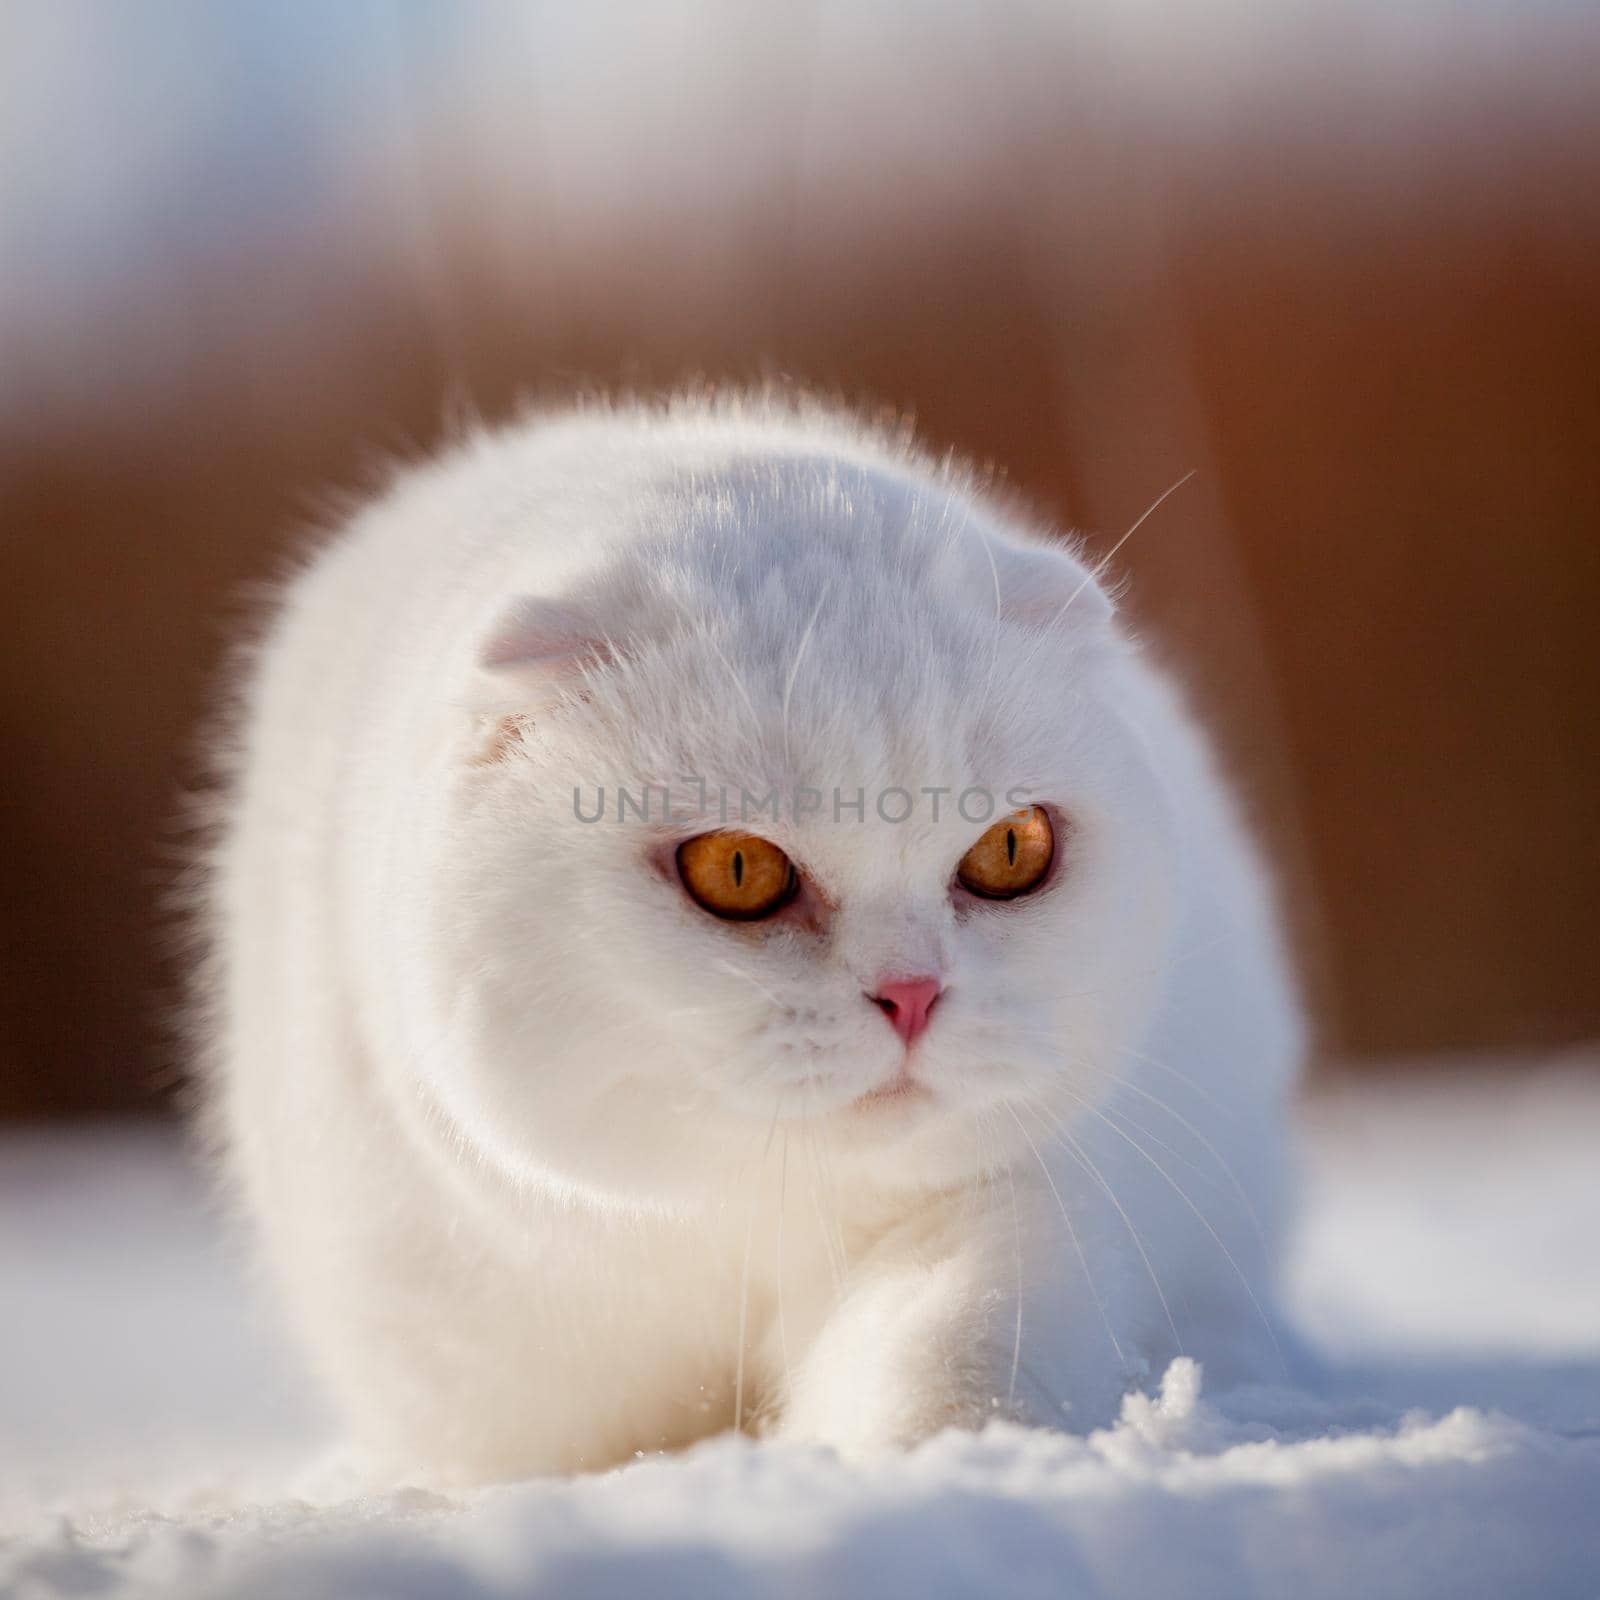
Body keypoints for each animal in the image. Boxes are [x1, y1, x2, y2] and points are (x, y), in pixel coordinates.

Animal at [196, 393, 1299, 1478]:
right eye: (736, 869)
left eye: (1009, 849)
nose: (912, 994)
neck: (727, 1219)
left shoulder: (1005, 1200)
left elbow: (951, 1350)